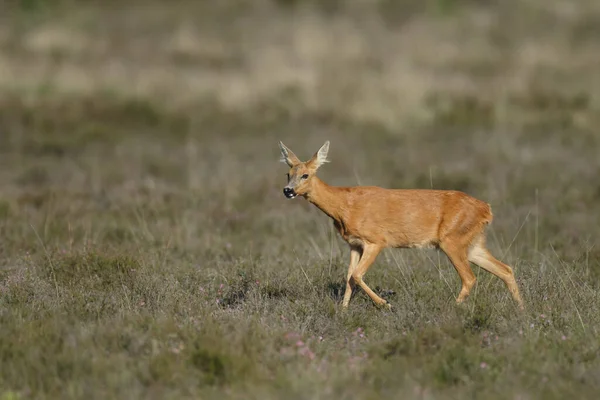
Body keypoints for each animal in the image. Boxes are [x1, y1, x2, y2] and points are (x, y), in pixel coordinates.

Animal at [278, 141, 524, 312]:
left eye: (305, 175)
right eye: (288, 174)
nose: (287, 191)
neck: (344, 206)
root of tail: (486, 209)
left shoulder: (376, 240)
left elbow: (357, 275)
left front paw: (385, 304)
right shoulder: (354, 244)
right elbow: (348, 277)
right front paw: (343, 311)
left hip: (452, 240)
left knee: (470, 278)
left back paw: (451, 310)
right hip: (472, 244)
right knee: (506, 269)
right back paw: (521, 310)